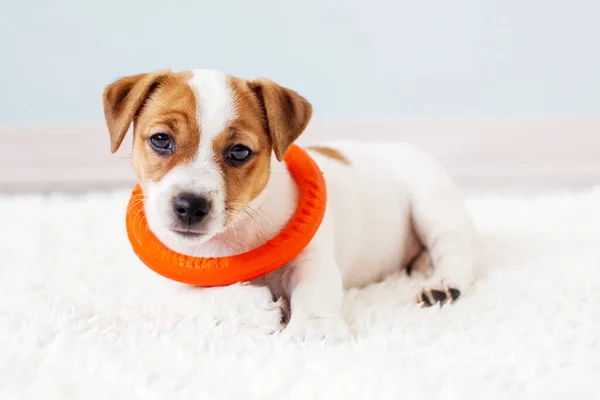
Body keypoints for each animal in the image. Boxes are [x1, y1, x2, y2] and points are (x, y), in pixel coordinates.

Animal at [102, 69, 478, 340]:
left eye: (239, 151)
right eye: (161, 140)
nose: (190, 205)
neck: (232, 237)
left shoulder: (313, 260)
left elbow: (313, 289)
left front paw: (314, 326)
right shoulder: (165, 286)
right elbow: (199, 299)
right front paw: (259, 308)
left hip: (432, 204)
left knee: (454, 248)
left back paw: (441, 283)